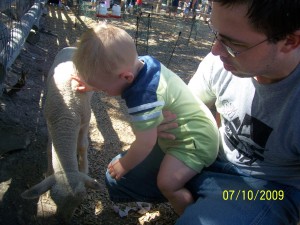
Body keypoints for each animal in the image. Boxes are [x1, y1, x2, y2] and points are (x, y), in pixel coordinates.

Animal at [21, 46, 103, 222]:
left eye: (79, 203)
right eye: (54, 199)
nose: (64, 220)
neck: (66, 114)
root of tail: (72, 46)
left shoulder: (85, 120)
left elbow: (82, 145)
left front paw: (84, 168)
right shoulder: (50, 123)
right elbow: (48, 149)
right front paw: (49, 172)